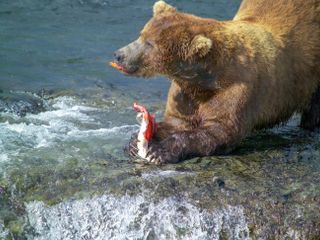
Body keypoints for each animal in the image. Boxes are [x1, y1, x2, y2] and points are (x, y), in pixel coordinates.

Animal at [112, 0, 320, 164]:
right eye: (142, 34)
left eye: (150, 44)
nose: (119, 55)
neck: (205, 78)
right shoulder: (185, 91)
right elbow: (177, 120)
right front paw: (134, 141)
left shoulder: (237, 88)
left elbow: (219, 130)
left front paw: (160, 151)